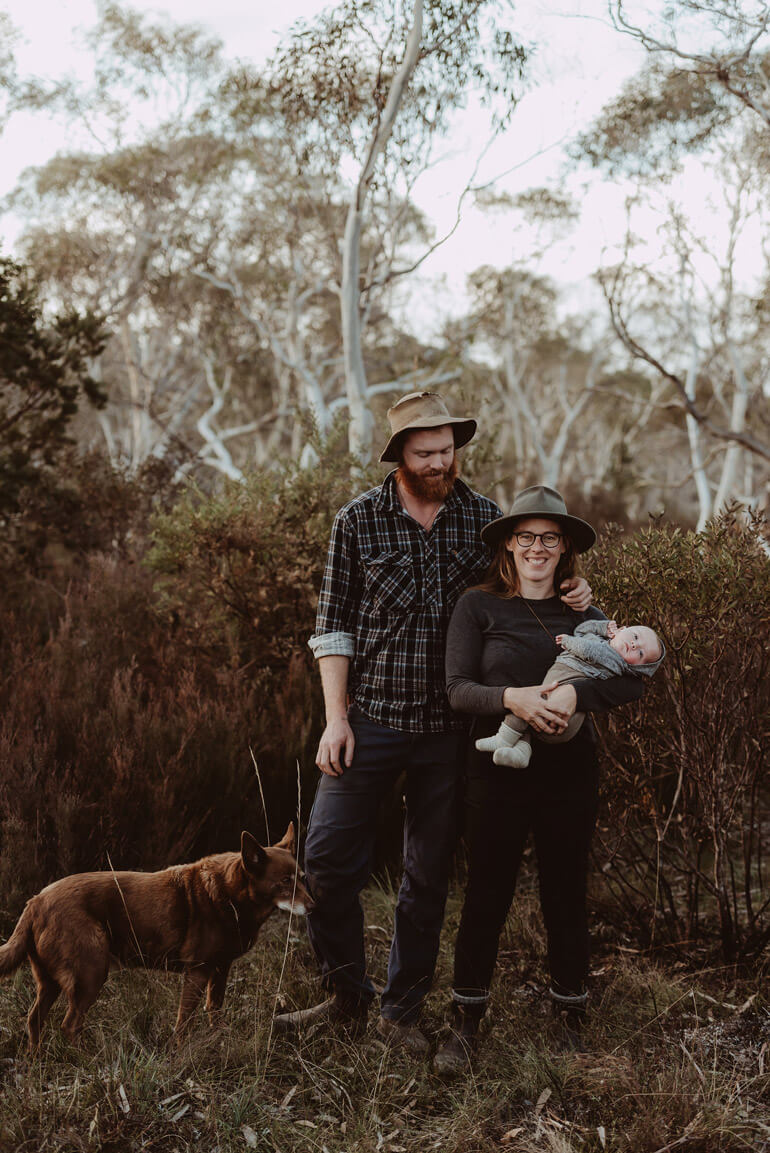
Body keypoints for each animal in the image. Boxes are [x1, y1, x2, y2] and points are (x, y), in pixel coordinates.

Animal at [1, 820, 313, 1046]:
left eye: (301, 878)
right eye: (284, 881)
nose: (314, 906)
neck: (231, 895)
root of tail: (35, 902)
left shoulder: (221, 968)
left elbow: (215, 1008)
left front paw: (219, 1039)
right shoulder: (197, 971)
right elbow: (184, 1021)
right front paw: (181, 1051)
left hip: (50, 980)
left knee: (34, 1019)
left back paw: (36, 1060)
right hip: (90, 973)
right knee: (69, 1025)